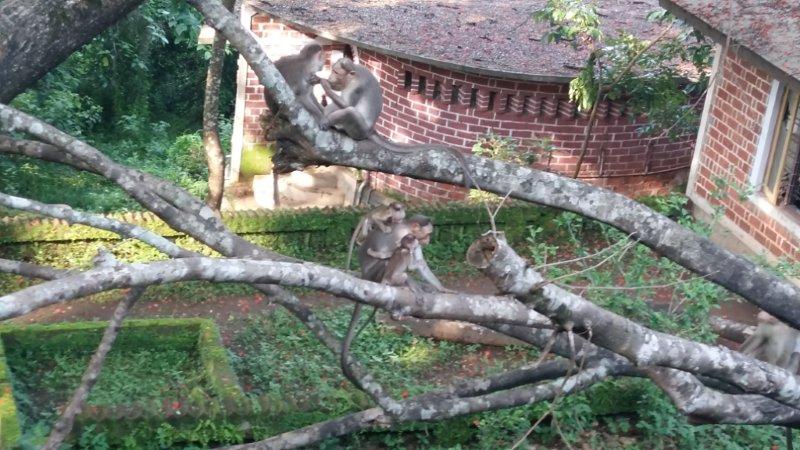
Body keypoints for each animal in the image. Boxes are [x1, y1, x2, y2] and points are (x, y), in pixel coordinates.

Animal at [318, 57, 482, 191]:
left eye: (336, 72)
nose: (330, 77)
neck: (354, 75)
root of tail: (370, 130)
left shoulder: (356, 87)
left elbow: (347, 104)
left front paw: (324, 84)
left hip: (359, 129)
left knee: (350, 112)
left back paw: (330, 122)